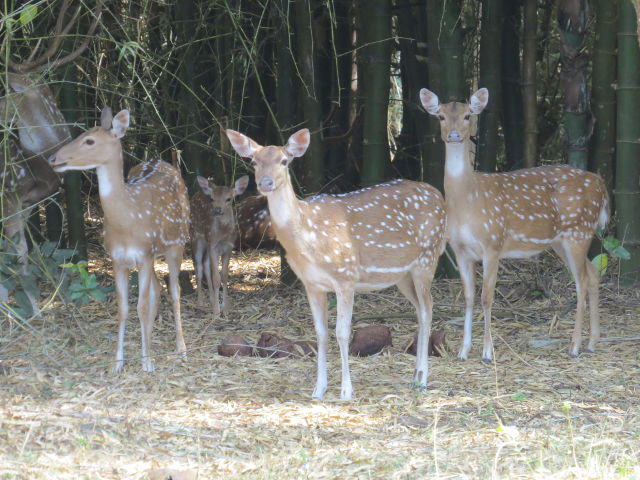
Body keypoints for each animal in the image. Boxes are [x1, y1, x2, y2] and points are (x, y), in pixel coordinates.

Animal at [48, 108, 189, 372]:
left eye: (89, 141)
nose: (53, 159)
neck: (128, 220)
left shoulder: (144, 253)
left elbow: (141, 306)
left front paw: (147, 363)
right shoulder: (117, 259)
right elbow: (123, 309)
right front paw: (119, 363)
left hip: (178, 242)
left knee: (175, 291)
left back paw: (181, 350)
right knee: (157, 288)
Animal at [189, 174, 249, 314]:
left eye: (229, 199)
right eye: (212, 199)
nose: (217, 209)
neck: (223, 235)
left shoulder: (229, 248)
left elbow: (225, 276)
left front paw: (225, 309)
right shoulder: (213, 246)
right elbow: (216, 278)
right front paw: (217, 311)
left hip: (207, 242)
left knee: (205, 264)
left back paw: (211, 300)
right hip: (195, 236)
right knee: (198, 267)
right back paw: (201, 302)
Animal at [228, 127, 448, 402]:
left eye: (284, 161)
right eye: (254, 162)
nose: (265, 183)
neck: (308, 239)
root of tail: (441, 198)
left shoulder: (346, 276)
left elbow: (342, 333)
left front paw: (346, 390)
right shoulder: (311, 284)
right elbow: (320, 334)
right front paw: (318, 389)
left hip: (428, 259)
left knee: (429, 309)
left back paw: (423, 379)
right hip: (403, 276)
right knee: (419, 310)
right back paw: (415, 376)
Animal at [420, 88, 608, 362]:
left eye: (467, 115)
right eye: (441, 116)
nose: (454, 135)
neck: (467, 200)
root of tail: (601, 185)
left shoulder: (493, 243)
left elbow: (487, 297)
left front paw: (487, 352)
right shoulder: (460, 250)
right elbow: (468, 297)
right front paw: (463, 351)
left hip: (579, 230)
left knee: (581, 280)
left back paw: (574, 347)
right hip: (561, 241)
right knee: (593, 272)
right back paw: (592, 343)